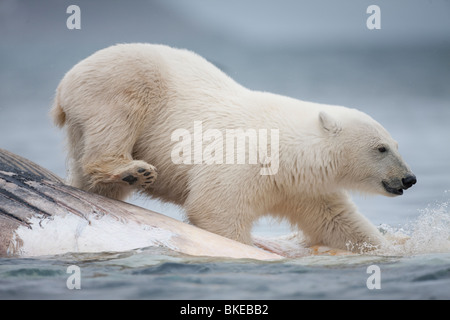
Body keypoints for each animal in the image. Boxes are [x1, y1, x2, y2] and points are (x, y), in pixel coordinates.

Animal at [51, 43, 416, 252]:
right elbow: (216, 209)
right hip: (119, 81)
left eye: (396, 144)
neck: (287, 152)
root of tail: (64, 82)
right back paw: (131, 170)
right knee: (118, 118)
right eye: (381, 148)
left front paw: (389, 246)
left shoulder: (302, 187)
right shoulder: (243, 161)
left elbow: (337, 221)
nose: (409, 179)